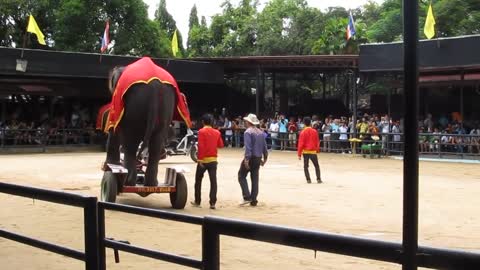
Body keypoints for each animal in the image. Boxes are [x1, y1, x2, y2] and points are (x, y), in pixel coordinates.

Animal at [102, 57, 191, 187]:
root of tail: (154, 87)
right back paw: (151, 183)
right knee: (156, 142)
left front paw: (108, 167)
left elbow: (114, 126)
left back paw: (128, 181)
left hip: (135, 106)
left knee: (130, 141)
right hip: (165, 105)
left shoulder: (118, 97)